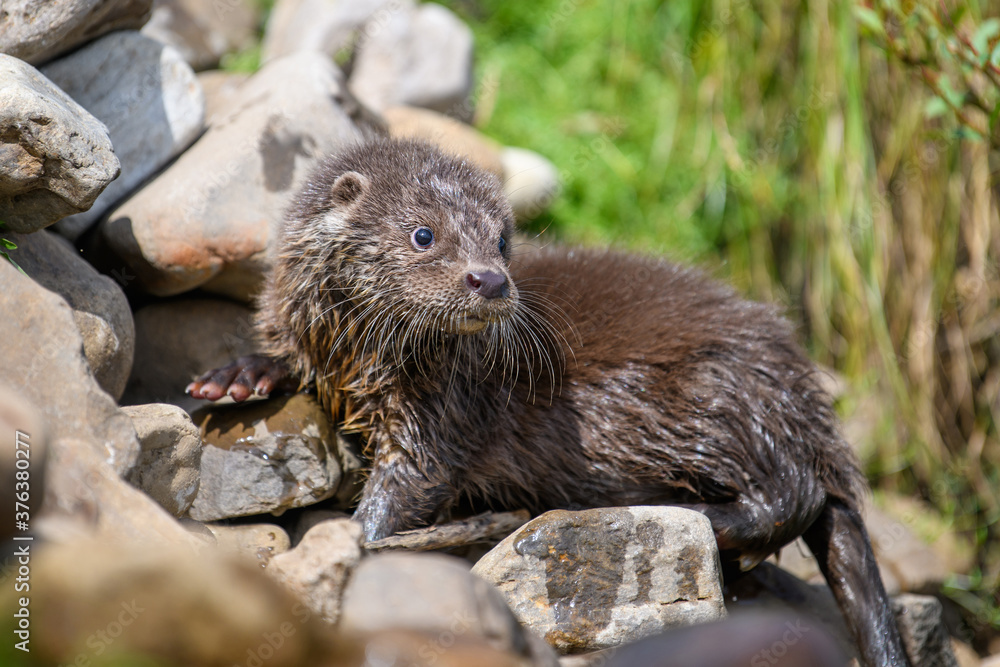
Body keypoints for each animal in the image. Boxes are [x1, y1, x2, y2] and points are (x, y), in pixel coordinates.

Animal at [188, 138, 916, 664]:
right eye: (424, 235)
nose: (489, 279)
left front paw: (357, 539)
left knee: (792, 493)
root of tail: (801, 391)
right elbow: (284, 356)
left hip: (705, 396)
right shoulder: (307, 333)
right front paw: (235, 378)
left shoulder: (445, 402)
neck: (358, 360)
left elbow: (409, 484)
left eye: (502, 240)